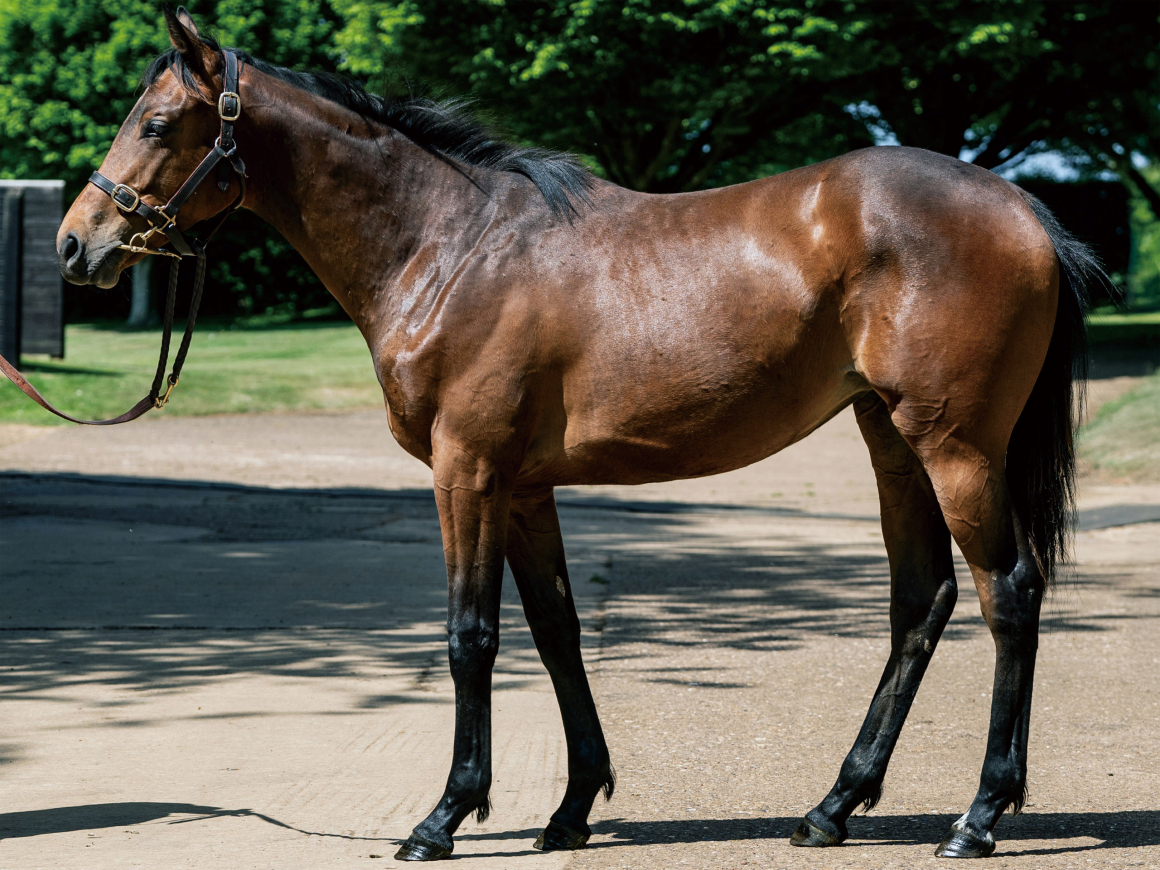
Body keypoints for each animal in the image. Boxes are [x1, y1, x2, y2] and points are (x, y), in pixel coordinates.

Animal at [56, 7, 1102, 861]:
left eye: (157, 125)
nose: (76, 244)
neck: (450, 249)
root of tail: (1024, 208)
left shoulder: (467, 472)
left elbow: (470, 635)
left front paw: (443, 818)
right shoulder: (522, 486)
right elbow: (556, 632)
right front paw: (569, 810)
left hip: (955, 446)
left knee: (1008, 594)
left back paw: (978, 817)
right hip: (892, 442)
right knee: (920, 603)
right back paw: (832, 808)